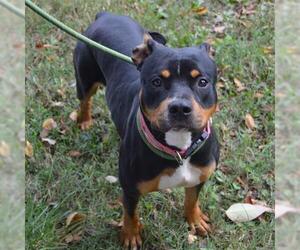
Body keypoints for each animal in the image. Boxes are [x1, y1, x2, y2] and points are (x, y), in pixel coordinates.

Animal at [74, 11, 220, 248]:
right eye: (157, 81)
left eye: (202, 82)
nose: (180, 107)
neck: (179, 149)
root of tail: (105, 15)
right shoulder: (130, 188)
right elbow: (130, 213)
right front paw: (131, 234)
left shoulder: (200, 176)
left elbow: (192, 199)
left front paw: (195, 219)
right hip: (85, 77)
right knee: (85, 99)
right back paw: (84, 119)